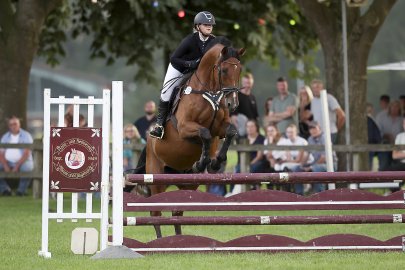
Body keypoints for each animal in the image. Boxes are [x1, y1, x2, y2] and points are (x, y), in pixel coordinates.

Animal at [136, 38, 245, 238]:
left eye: (239, 69)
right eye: (224, 70)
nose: (232, 104)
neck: (209, 90)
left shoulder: (220, 128)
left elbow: (230, 132)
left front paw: (215, 162)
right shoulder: (185, 128)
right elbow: (205, 134)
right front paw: (203, 162)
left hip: (187, 184)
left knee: (177, 213)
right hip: (156, 177)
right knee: (155, 213)